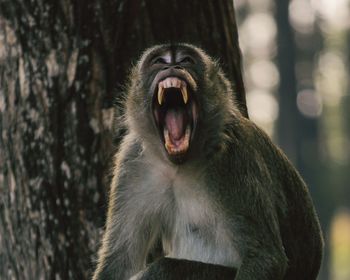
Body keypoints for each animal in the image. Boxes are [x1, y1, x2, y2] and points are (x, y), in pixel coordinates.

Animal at [92, 43, 322, 280]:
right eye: (159, 62)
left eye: (186, 60)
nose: (172, 65)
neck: (178, 165)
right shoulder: (132, 161)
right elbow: (119, 261)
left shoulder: (236, 158)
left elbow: (265, 257)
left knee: (166, 268)